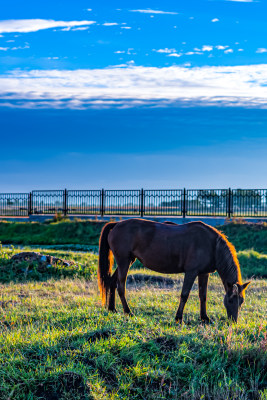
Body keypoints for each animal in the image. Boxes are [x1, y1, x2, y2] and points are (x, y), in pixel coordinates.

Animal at [98, 217, 251, 324]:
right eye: (230, 301)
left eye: (241, 301)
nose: (233, 321)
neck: (213, 245)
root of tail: (116, 224)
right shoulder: (191, 272)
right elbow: (184, 294)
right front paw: (178, 318)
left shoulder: (204, 273)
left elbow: (203, 295)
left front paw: (205, 318)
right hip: (124, 261)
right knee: (120, 286)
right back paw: (128, 311)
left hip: (128, 260)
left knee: (112, 282)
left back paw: (112, 309)